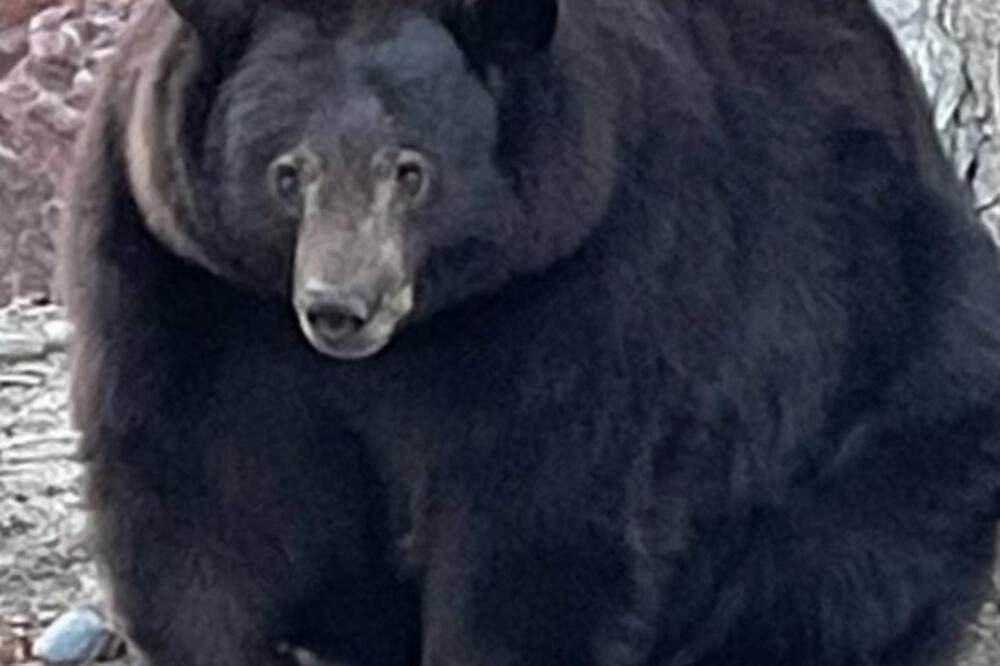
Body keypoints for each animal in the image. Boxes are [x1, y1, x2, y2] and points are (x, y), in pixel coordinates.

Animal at [60, 0, 1000, 665]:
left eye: (411, 170)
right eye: (288, 171)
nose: (341, 307)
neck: (424, 325)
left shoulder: (587, 263)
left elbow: (541, 513)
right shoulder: (183, 274)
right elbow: (201, 487)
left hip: (895, 354)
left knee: (845, 561)